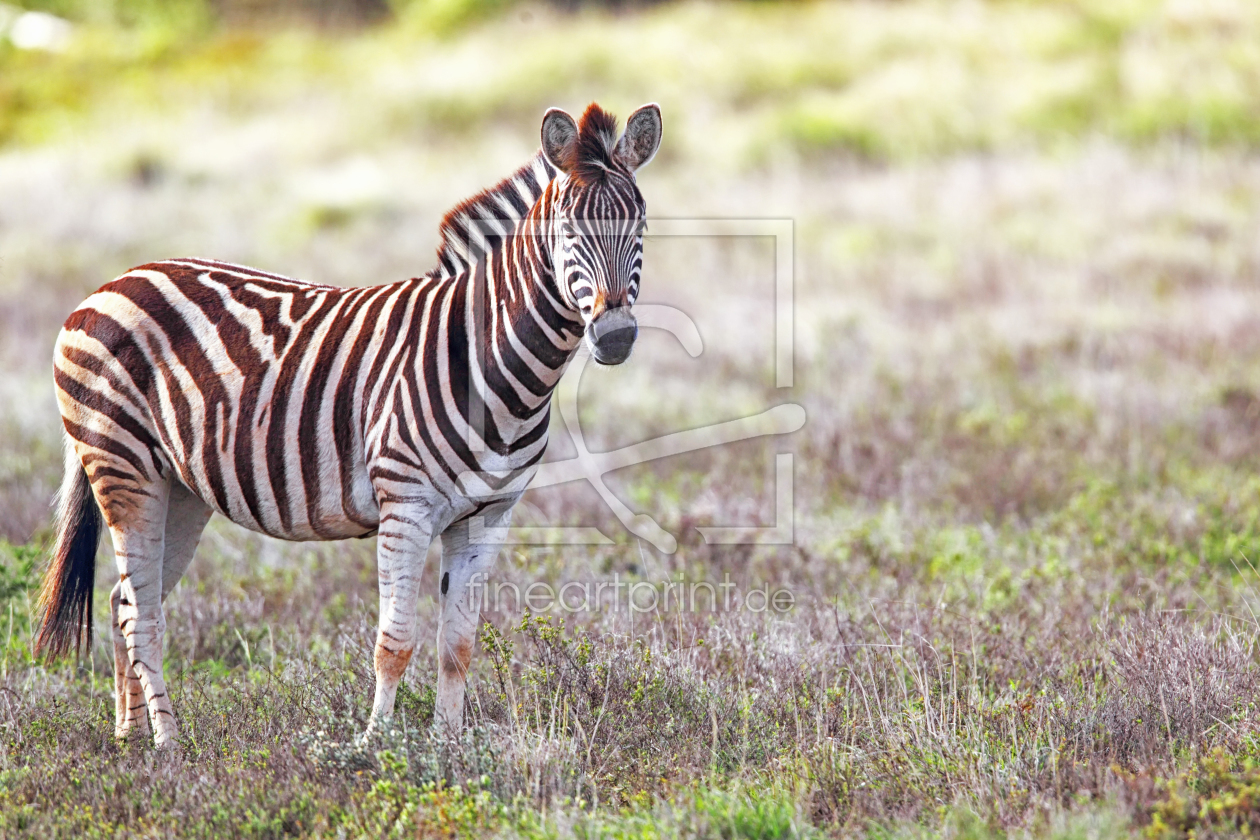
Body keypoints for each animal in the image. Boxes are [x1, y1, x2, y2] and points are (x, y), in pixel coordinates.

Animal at [34, 102, 665, 745]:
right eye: (568, 234)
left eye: (641, 228)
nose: (616, 338)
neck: (488, 362)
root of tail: (110, 284)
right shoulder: (405, 506)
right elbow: (395, 641)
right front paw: (375, 746)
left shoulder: (490, 516)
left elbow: (458, 644)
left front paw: (449, 749)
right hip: (121, 465)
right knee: (143, 615)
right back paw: (169, 745)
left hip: (179, 488)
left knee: (127, 601)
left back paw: (130, 737)